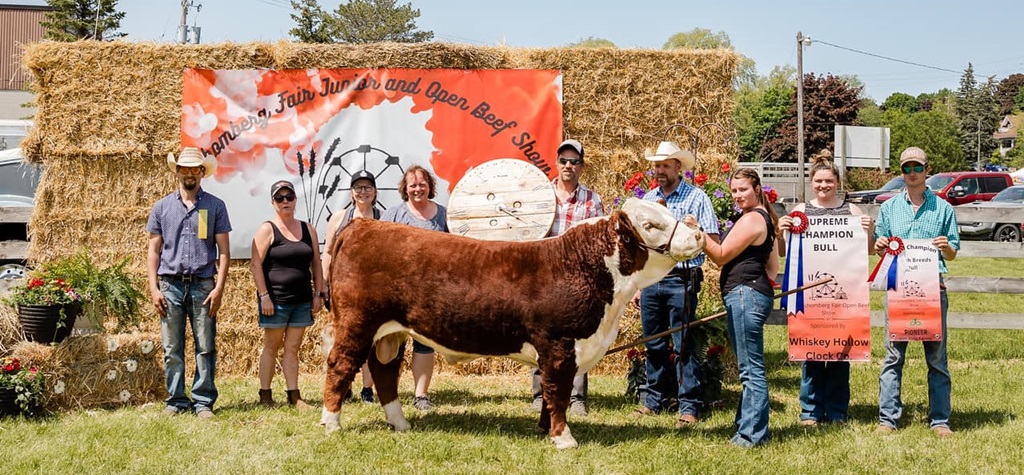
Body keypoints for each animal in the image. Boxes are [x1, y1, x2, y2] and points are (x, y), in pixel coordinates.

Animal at [320, 198, 703, 449]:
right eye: (651, 225)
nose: (698, 232)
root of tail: (362, 225)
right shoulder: (560, 344)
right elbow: (558, 392)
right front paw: (564, 439)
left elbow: (550, 393)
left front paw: (546, 430)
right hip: (358, 322)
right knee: (340, 366)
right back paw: (331, 423)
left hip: (391, 332)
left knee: (384, 372)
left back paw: (400, 425)